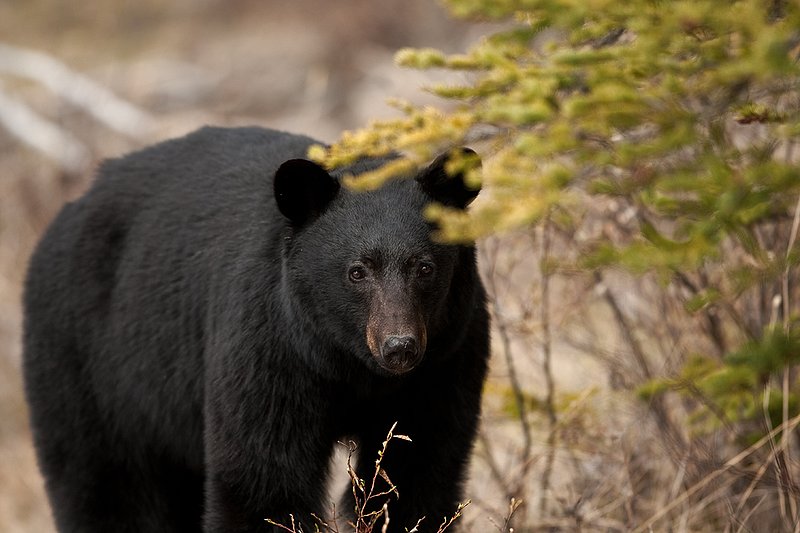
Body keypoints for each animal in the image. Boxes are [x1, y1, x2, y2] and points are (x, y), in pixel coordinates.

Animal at [22, 126, 490, 533]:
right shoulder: (270, 348)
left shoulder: (445, 362)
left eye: (424, 268)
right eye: (357, 271)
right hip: (89, 367)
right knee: (103, 486)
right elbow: (262, 481)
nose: (399, 347)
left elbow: (415, 476)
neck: (348, 365)